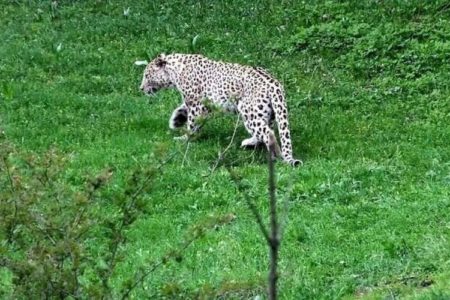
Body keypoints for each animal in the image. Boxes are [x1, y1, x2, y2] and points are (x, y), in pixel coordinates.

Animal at [140, 54, 302, 166]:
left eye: (147, 75)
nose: (141, 88)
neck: (175, 71)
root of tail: (275, 85)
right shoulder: (199, 104)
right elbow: (183, 109)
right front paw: (176, 120)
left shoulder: (196, 104)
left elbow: (192, 123)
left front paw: (186, 138)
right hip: (267, 112)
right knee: (265, 129)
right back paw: (249, 143)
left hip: (248, 111)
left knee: (268, 133)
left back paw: (276, 155)